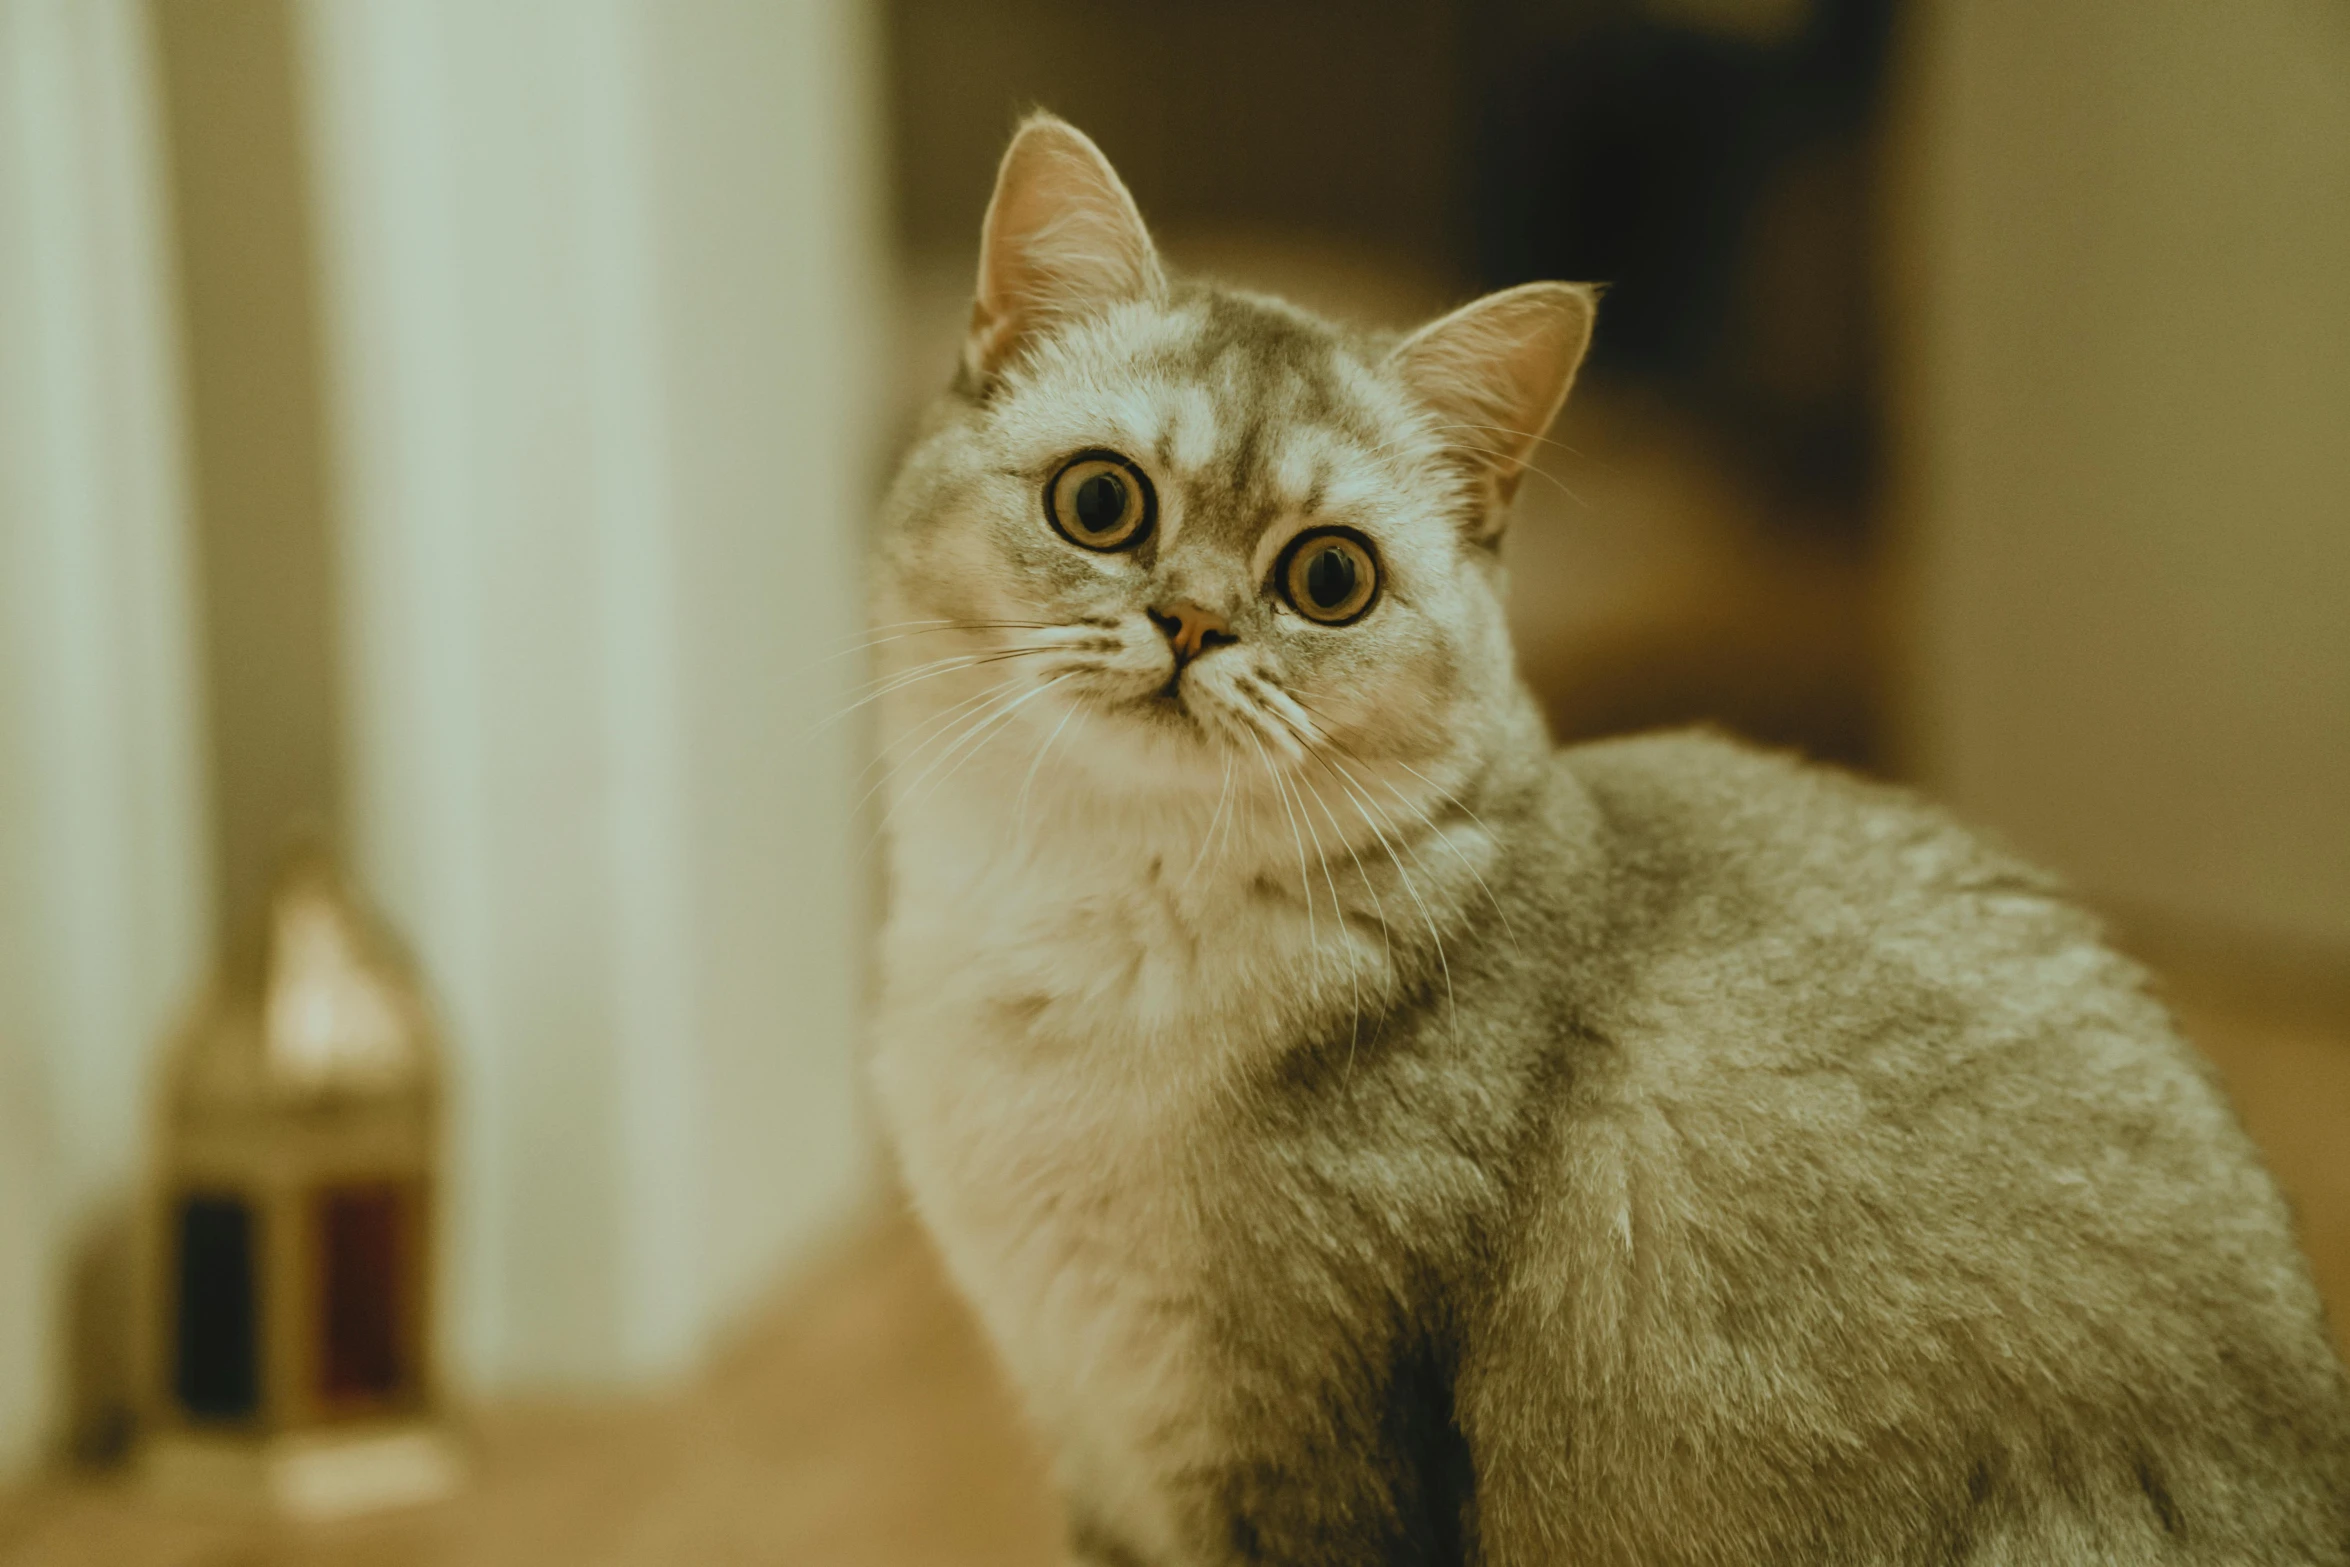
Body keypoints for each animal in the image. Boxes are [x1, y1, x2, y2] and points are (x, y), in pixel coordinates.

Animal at [869, 113, 2350, 1567]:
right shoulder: (1093, 1434)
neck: (1087, 916)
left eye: (1329, 578)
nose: (1189, 624)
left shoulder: (1309, 1466)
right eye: (1100, 504)